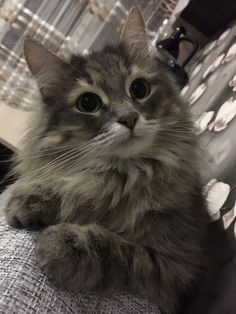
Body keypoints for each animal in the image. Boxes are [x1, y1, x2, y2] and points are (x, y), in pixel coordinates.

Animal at [4, 6, 213, 314]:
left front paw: (63, 244)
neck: (120, 175)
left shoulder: (172, 265)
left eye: (139, 89)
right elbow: (64, 186)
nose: (129, 118)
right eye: (88, 103)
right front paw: (29, 201)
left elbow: (116, 248)